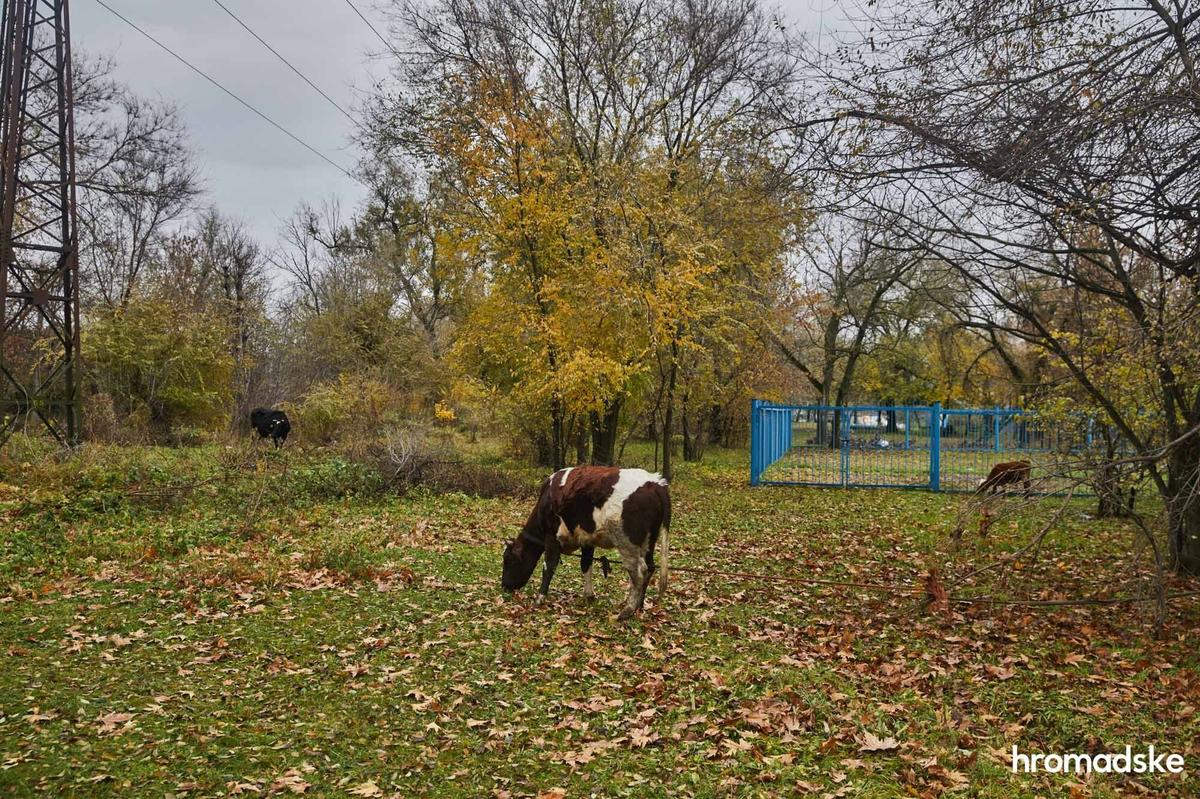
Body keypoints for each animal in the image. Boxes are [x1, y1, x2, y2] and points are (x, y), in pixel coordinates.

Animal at [501, 463, 672, 619]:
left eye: (509, 560)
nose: (504, 586)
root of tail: (655, 483)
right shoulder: (587, 539)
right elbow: (585, 564)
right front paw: (589, 596)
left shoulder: (552, 536)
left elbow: (548, 567)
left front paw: (539, 598)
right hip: (649, 541)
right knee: (650, 567)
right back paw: (640, 605)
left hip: (627, 543)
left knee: (639, 571)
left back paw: (628, 610)